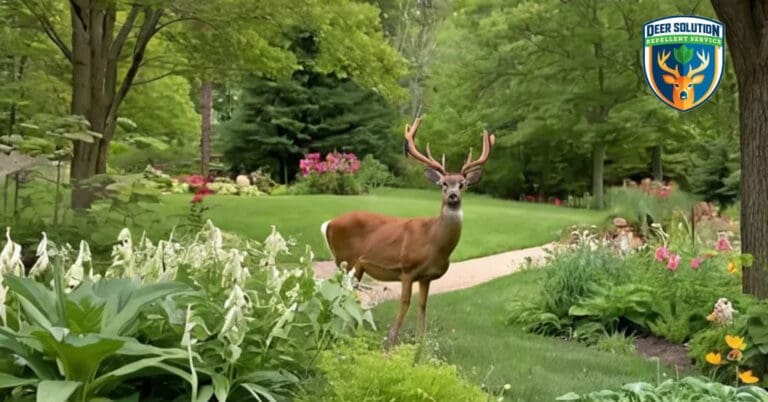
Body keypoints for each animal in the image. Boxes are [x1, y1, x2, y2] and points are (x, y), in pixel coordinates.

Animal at [320, 117, 495, 348]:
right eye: (443, 184)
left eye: (463, 184)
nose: (453, 196)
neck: (434, 242)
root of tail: (329, 223)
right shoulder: (407, 269)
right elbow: (405, 302)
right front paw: (390, 341)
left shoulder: (426, 276)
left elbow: (422, 305)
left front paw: (420, 343)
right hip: (345, 258)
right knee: (339, 291)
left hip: (357, 265)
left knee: (349, 293)